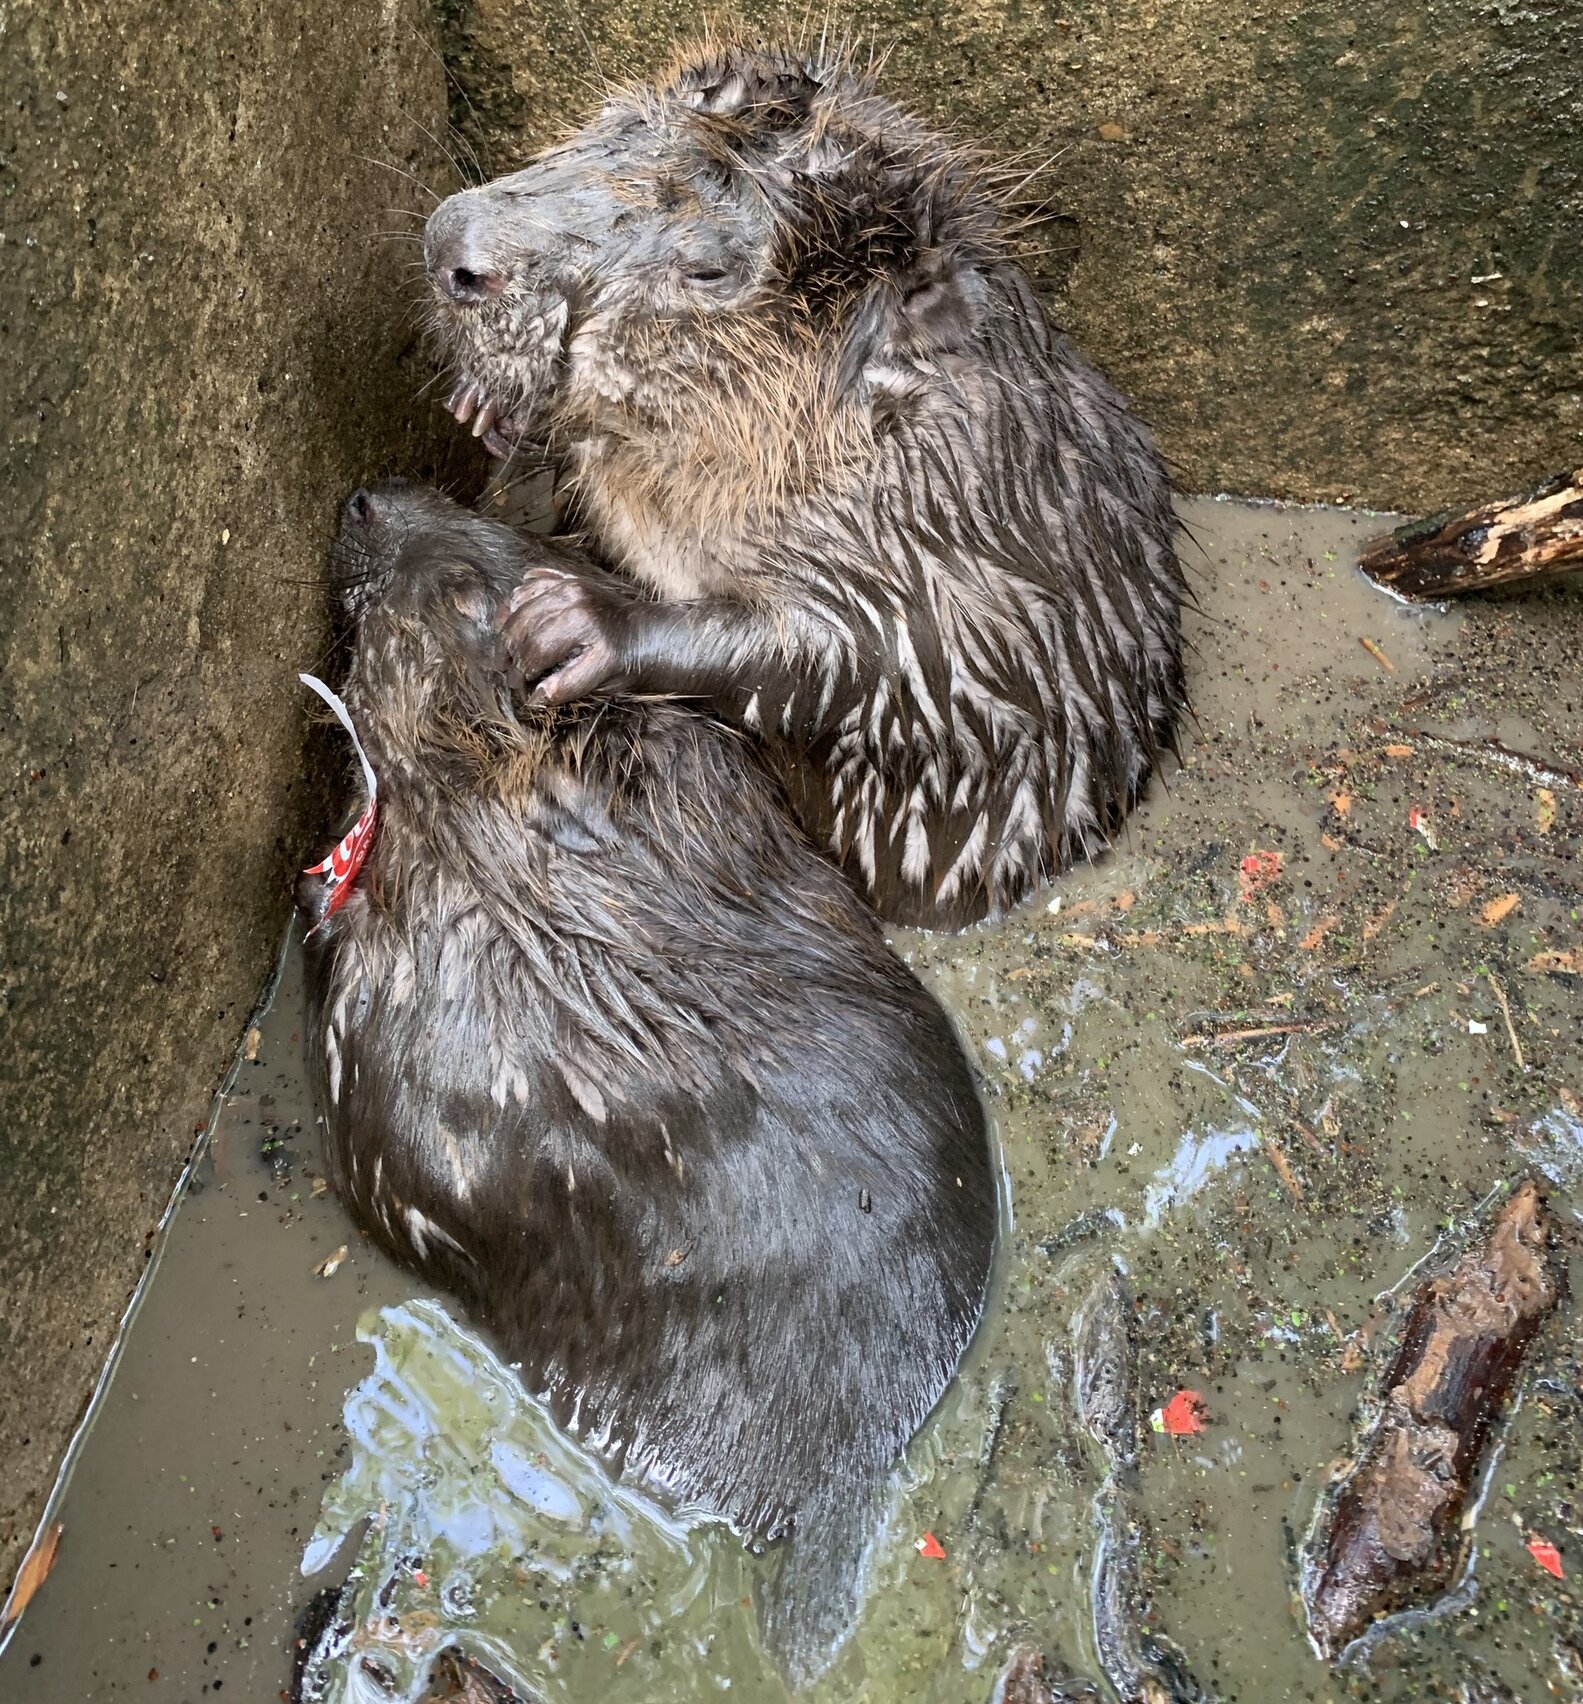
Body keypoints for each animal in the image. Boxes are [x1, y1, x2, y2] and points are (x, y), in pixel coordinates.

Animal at [421, 40, 1186, 930]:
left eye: (707, 269)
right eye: (616, 128)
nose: (451, 246)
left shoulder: (952, 542)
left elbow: (874, 671)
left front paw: (570, 624)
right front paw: (484, 407)